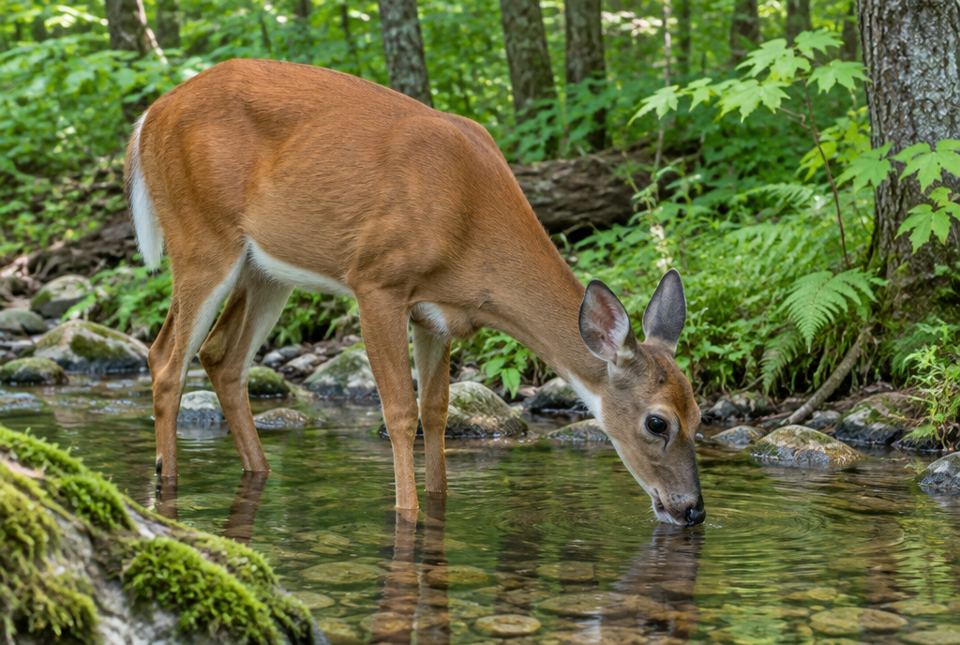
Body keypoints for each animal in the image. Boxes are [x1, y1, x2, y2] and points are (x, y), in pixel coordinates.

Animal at [125, 58, 705, 526]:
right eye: (657, 422)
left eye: (699, 415)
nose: (692, 510)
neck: (470, 223)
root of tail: (148, 116)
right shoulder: (377, 280)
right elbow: (400, 412)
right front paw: (408, 513)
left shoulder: (438, 314)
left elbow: (437, 411)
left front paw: (439, 503)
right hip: (201, 237)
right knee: (166, 358)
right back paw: (166, 487)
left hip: (266, 269)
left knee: (222, 356)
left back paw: (256, 471)